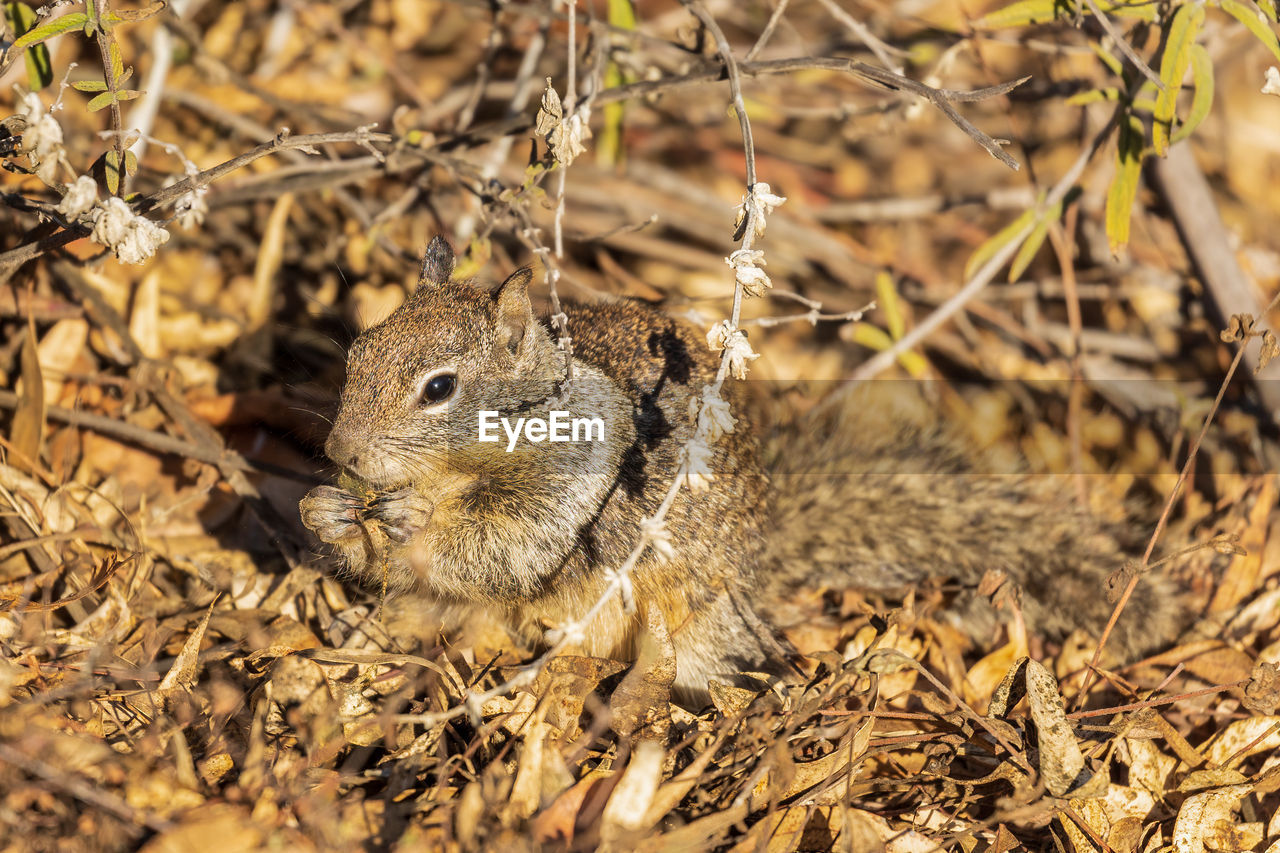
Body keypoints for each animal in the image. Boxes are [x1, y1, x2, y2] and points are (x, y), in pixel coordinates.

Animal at [296, 236, 1177, 696]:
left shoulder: (569, 486)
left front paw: (413, 523)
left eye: (440, 388)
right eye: (357, 348)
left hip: (687, 626)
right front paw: (327, 511)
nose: (340, 453)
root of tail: (760, 563)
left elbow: (501, 543)